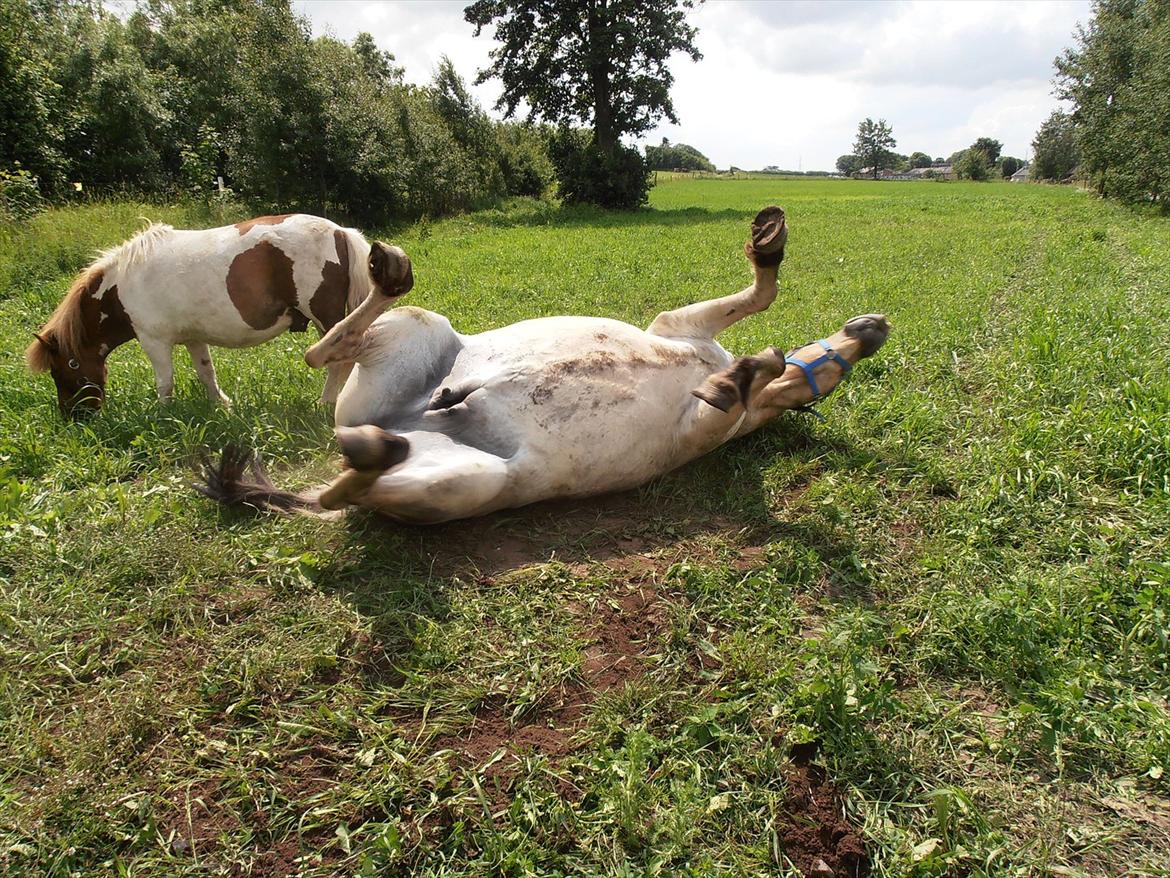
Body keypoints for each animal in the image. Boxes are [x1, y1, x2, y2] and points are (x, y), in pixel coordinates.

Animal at [22, 215, 416, 416]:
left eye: (63, 370)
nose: (75, 416)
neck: (124, 284)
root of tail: (338, 230)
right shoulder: (194, 338)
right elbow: (205, 373)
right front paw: (221, 406)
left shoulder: (154, 341)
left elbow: (165, 383)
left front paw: (164, 416)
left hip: (326, 318)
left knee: (340, 359)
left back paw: (327, 402)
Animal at [196, 206, 889, 522]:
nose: (874, 328)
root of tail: (403, 422)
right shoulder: (680, 326)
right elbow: (759, 297)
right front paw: (768, 245)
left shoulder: (698, 422)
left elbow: (736, 386)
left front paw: (747, 374)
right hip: (419, 337)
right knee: (324, 352)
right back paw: (392, 274)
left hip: (458, 482)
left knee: (346, 481)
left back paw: (374, 448)